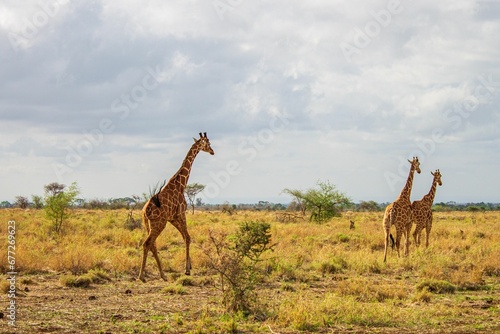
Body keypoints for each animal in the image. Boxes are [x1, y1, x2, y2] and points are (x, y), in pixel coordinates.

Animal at [138, 132, 214, 280]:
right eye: (208, 143)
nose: (212, 152)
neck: (181, 184)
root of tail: (145, 211)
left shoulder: (173, 218)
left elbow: (185, 237)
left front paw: (189, 266)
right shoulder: (181, 214)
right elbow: (188, 237)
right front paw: (187, 269)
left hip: (148, 224)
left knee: (152, 244)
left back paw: (162, 275)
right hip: (158, 223)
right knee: (147, 243)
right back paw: (142, 276)